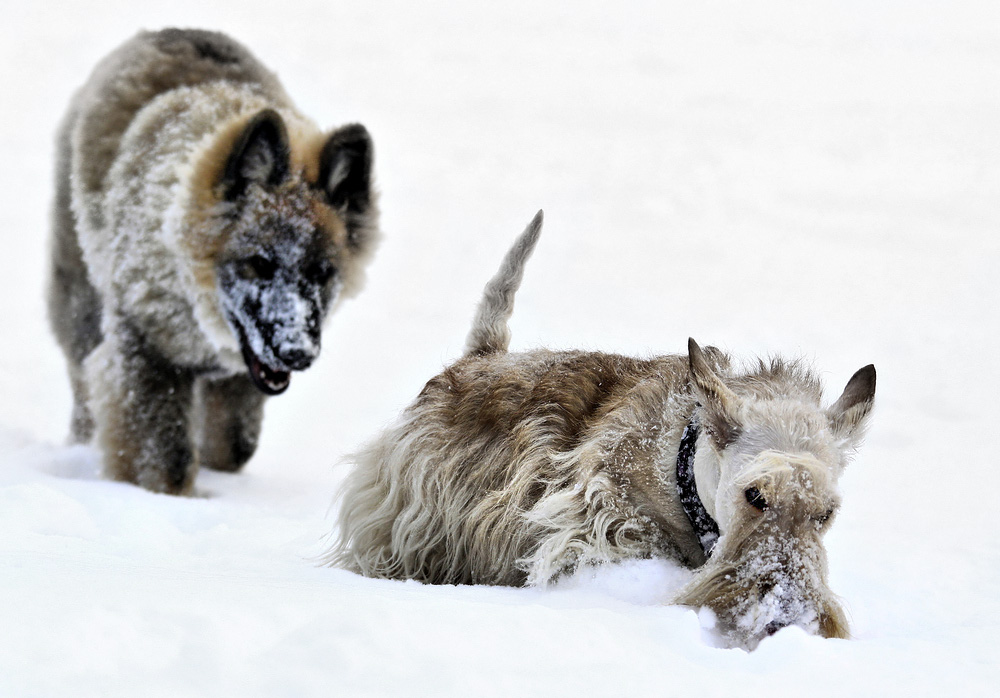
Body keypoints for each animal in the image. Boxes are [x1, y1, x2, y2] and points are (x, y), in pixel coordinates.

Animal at [46, 29, 378, 492]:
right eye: (258, 263)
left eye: (322, 272)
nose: (297, 353)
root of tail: (168, 30)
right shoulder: (145, 352)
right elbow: (166, 458)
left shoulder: (244, 374)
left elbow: (234, 445)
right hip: (80, 296)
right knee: (82, 378)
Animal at [330, 211, 876, 648]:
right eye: (755, 495)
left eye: (826, 513)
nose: (788, 621)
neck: (681, 464)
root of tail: (476, 359)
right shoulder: (589, 526)